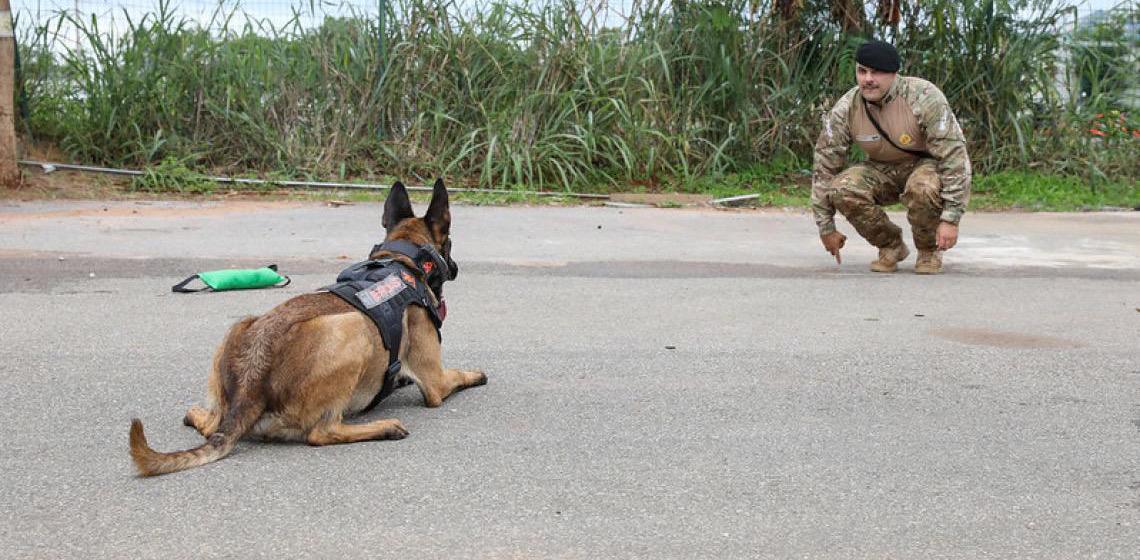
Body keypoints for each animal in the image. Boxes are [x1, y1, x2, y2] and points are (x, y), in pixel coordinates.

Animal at [129, 180, 485, 476]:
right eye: (450, 242)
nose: (455, 267)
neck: (402, 260)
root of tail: (251, 384)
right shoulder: (435, 381)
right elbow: (456, 376)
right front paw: (474, 374)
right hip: (354, 329)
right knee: (321, 432)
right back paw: (384, 426)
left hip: (241, 325)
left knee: (211, 422)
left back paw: (197, 413)